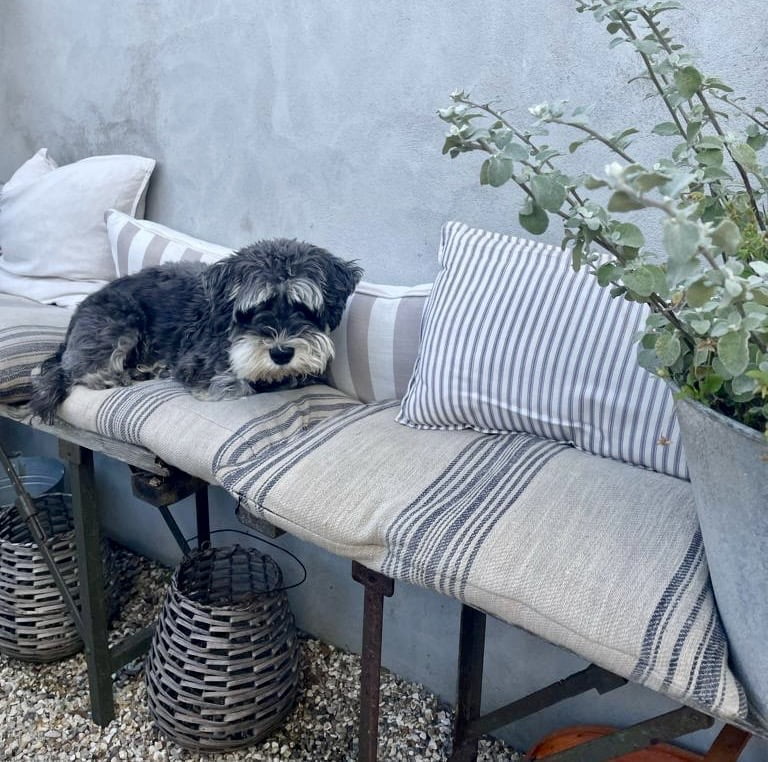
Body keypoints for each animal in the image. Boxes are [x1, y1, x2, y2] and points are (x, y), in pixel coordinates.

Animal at [30, 238, 363, 424]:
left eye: (303, 307)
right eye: (254, 308)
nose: (281, 353)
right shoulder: (201, 367)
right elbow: (238, 382)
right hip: (119, 323)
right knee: (76, 368)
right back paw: (114, 375)